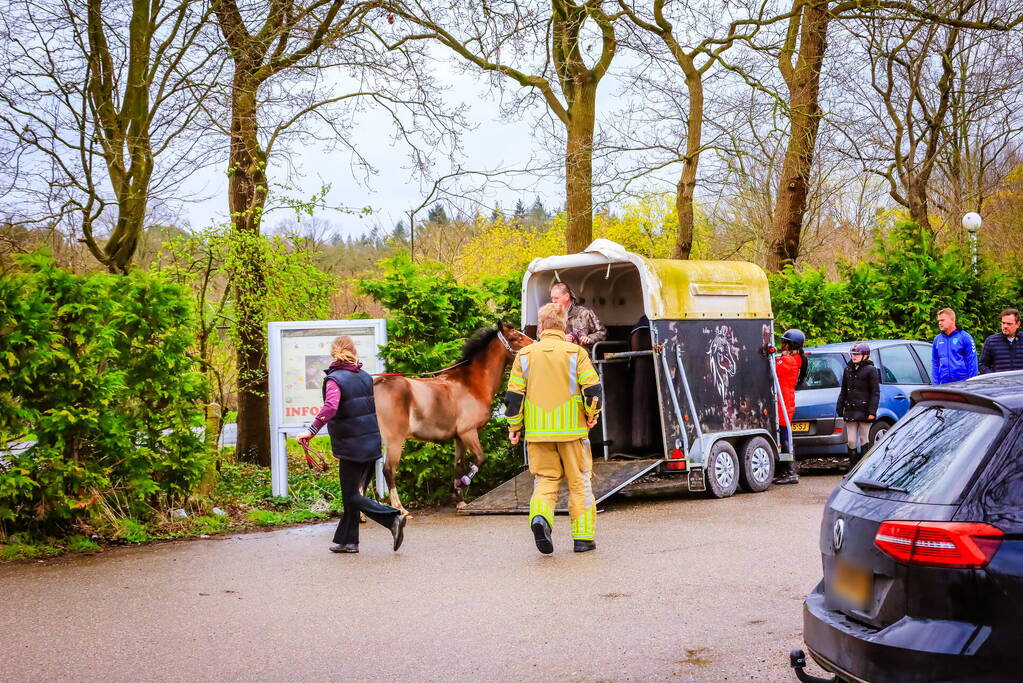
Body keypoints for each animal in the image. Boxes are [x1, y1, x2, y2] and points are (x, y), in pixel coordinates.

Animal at [376, 323, 536, 515]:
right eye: (514, 338)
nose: (535, 344)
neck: (471, 384)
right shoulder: (469, 432)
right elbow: (480, 459)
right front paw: (463, 484)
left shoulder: (459, 438)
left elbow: (458, 465)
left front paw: (459, 499)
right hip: (394, 440)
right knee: (388, 470)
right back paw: (400, 508)